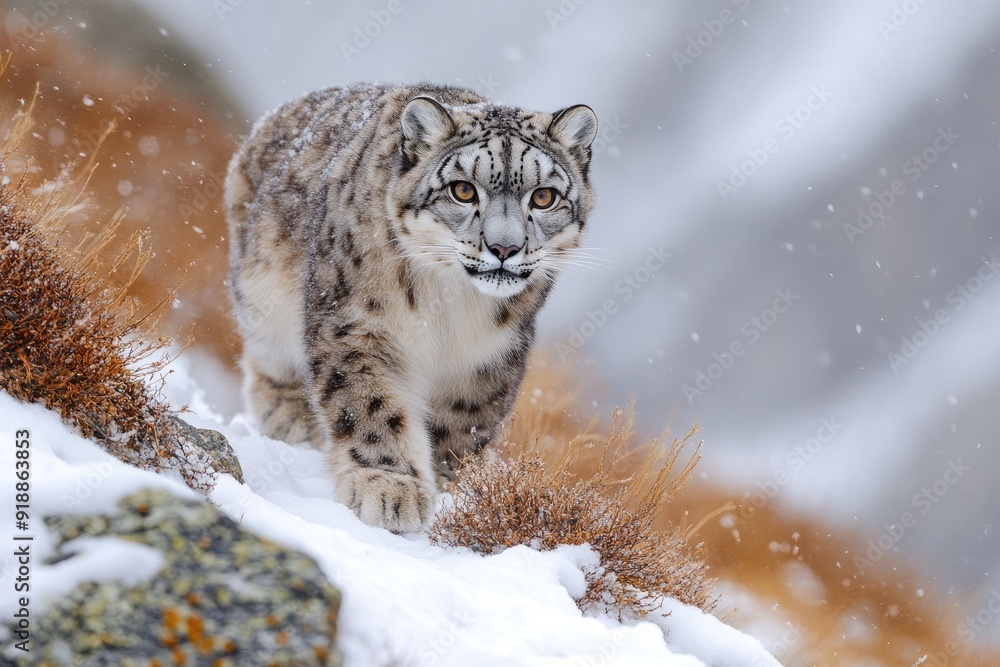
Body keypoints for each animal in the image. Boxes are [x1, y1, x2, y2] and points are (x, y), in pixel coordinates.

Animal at [225, 82, 597, 532]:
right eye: (463, 190)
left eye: (543, 197)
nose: (505, 248)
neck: (453, 305)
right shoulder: (356, 325)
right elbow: (369, 404)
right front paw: (388, 486)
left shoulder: (491, 354)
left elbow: (464, 419)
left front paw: (455, 488)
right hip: (263, 287)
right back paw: (289, 412)